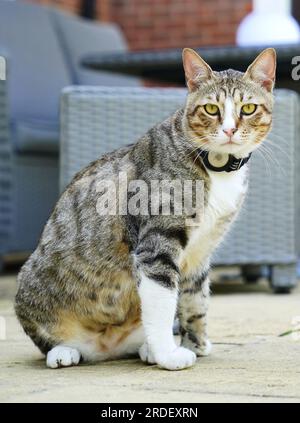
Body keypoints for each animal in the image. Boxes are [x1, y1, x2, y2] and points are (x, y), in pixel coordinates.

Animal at [15, 48, 276, 370]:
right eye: (211, 109)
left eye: (249, 108)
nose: (229, 129)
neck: (216, 167)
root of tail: (105, 349)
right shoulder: (157, 244)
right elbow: (163, 303)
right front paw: (169, 354)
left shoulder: (200, 253)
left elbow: (195, 300)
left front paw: (196, 343)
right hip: (30, 286)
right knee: (46, 339)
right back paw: (64, 352)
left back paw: (146, 349)